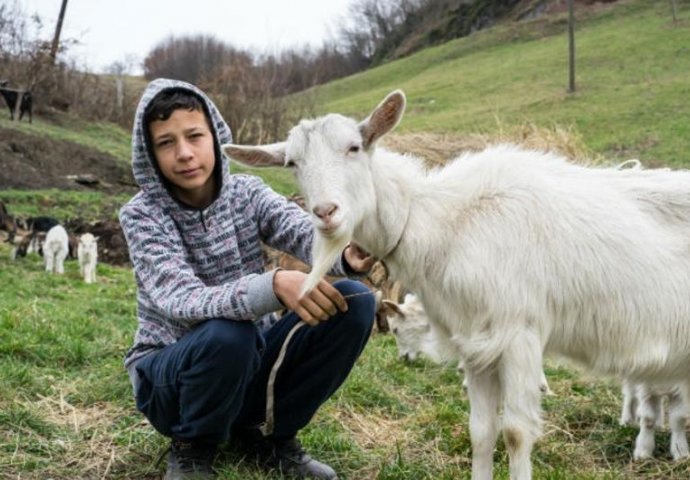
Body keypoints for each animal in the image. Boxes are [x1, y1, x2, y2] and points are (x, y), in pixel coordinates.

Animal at [222, 91, 690, 480]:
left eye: (354, 147)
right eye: (292, 163)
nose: (325, 212)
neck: (446, 221)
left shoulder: (519, 334)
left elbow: (515, 432)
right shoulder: (478, 344)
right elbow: (481, 431)